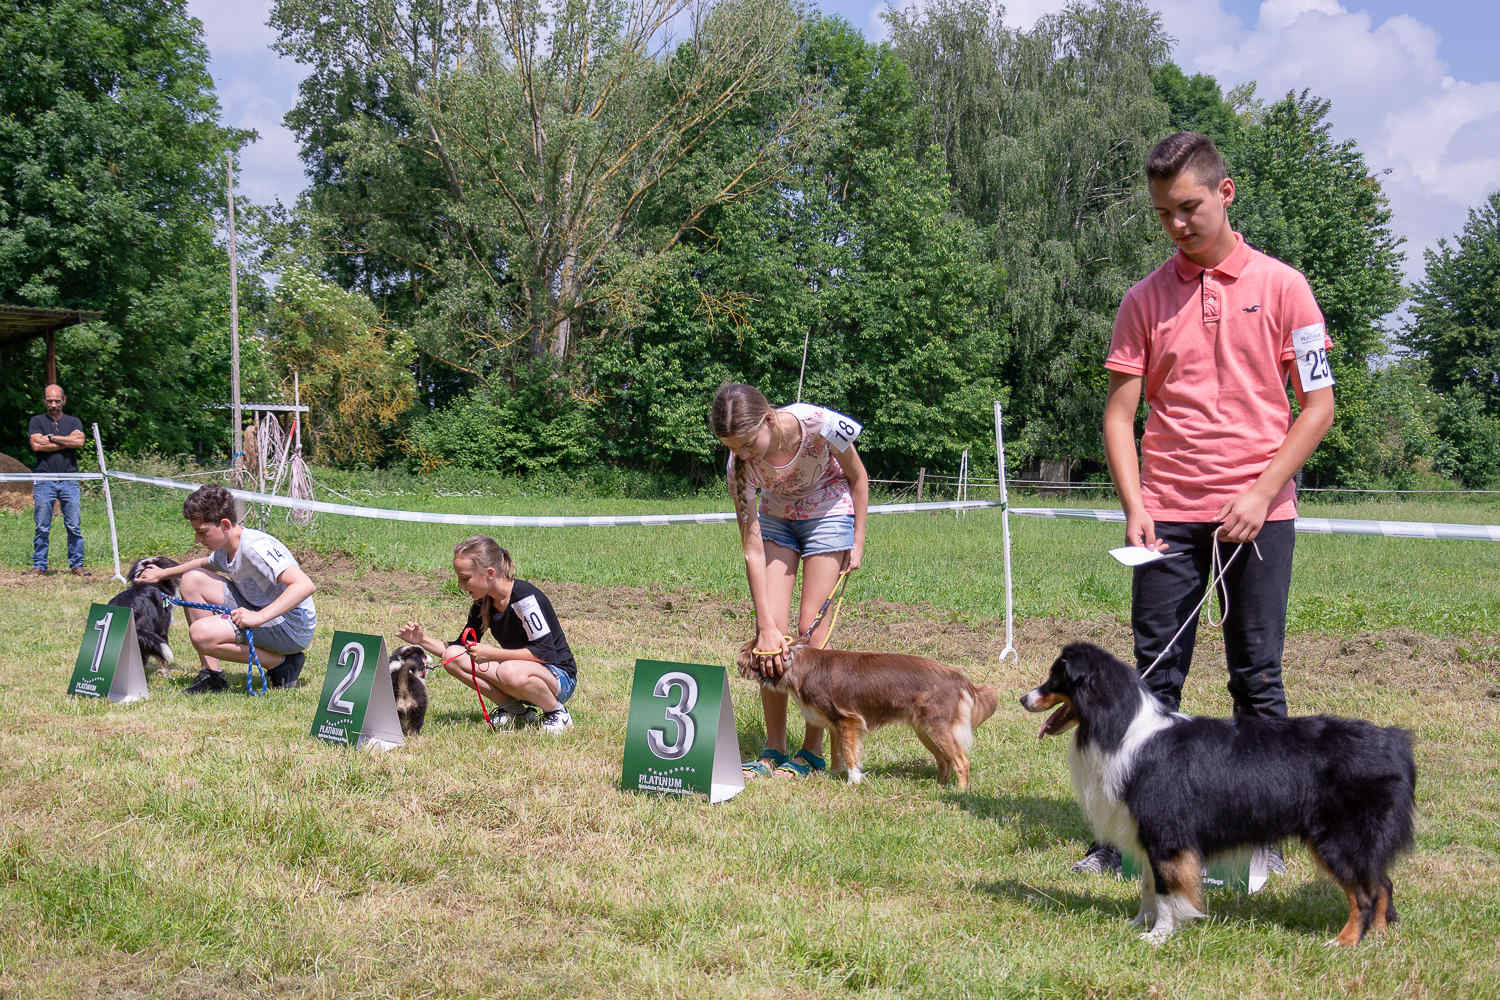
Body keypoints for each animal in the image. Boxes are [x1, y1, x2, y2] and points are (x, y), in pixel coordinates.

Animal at [735, 641, 1002, 791]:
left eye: (749, 652)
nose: (737, 662)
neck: (793, 663)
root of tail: (960, 678)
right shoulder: (835, 725)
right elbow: (838, 753)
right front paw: (834, 776)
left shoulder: (848, 721)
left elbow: (850, 754)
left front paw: (853, 782)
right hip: (925, 731)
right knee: (945, 760)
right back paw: (940, 787)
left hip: (937, 729)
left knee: (961, 761)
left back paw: (960, 793)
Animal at [1020, 641, 1416, 947]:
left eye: (1056, 677)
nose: (1023, 698)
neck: (1118, 727)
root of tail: (1394, 742)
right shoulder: (1148, 835)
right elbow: (1148, 886)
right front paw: (1136, 924)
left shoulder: (1167, 835)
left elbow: (1166, 891)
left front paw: (1158, 936)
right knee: (1383, 884)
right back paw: (1378, 939)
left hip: (1339, 839)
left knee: (1365, 894)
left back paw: (1344, 942)